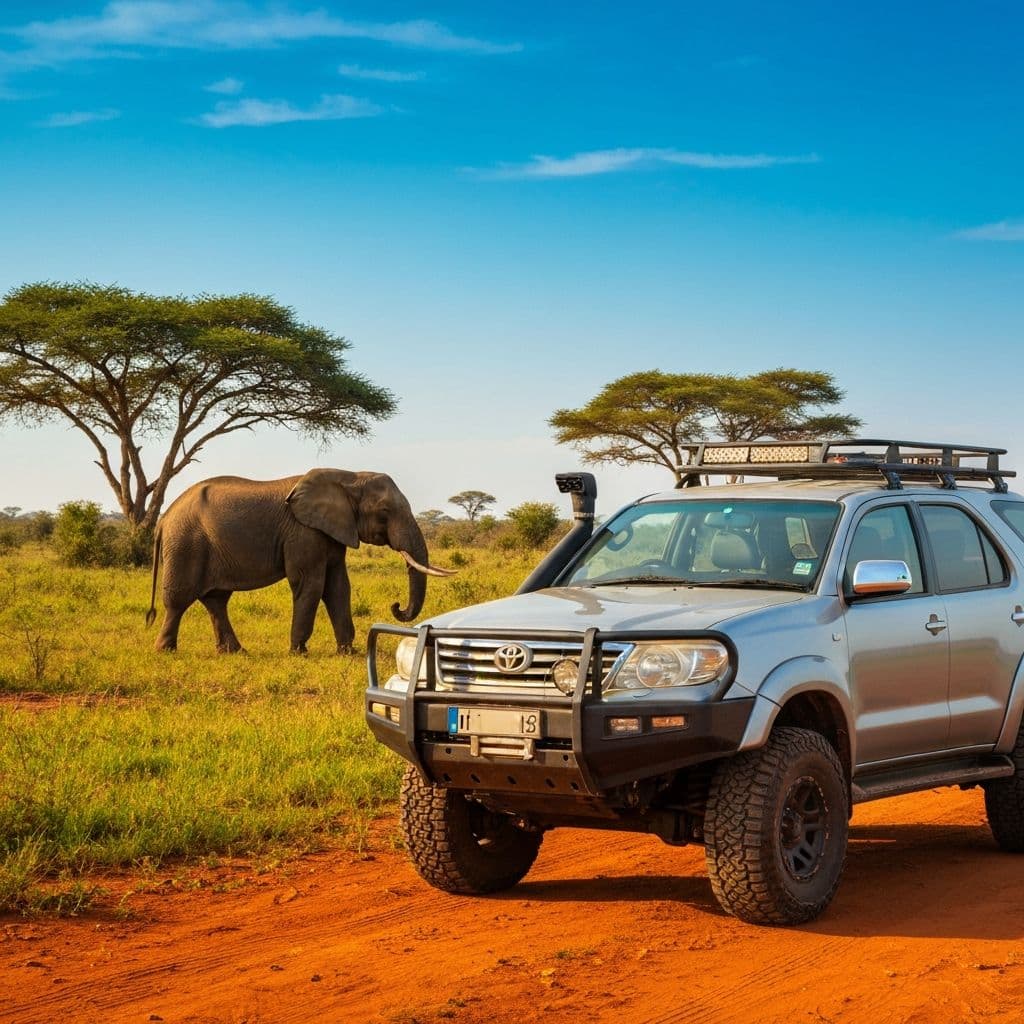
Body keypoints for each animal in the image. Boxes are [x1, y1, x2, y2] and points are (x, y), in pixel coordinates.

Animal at [145, 469, 454, 654]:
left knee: (216, 600)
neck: (348, 476)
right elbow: (311, 583)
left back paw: (235, 652)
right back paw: (165, 650)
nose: (396, 606)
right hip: (186, 543)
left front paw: (347, 652)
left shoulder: (331, 532)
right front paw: (299, 652)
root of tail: (163, 519)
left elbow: (338, 587)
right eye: (385, 511)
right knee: (179, 599)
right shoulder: (304, 532)